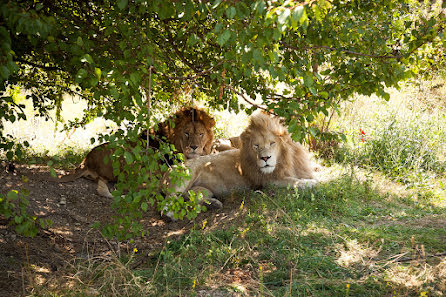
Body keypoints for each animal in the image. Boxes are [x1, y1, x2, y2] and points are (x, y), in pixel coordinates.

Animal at [168, 112, 318, 216]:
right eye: (256, 146)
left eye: (272, 143)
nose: (265, 158)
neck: (286, 160)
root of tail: (169, 169)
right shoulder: (267, 181)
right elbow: (292, 181)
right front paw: (310, 183)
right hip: (187, 174)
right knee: (170, 200)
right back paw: (171, 214)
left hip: (201, 189)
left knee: (189, 198)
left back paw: (213, 204)